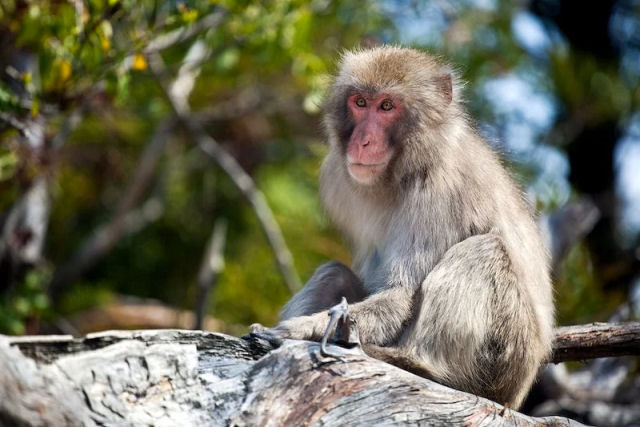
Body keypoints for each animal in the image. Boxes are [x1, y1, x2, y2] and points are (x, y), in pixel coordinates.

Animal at [252, 45, 552, 410]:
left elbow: (400, 295)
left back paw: (422, 367)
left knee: (482, 252)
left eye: (387, 106)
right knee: (334, 272)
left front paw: (300, 329)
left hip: (505, 358)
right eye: (360, 102)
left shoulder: (439, 193)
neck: (405, 168)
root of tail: (517, 394)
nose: (362, 141)